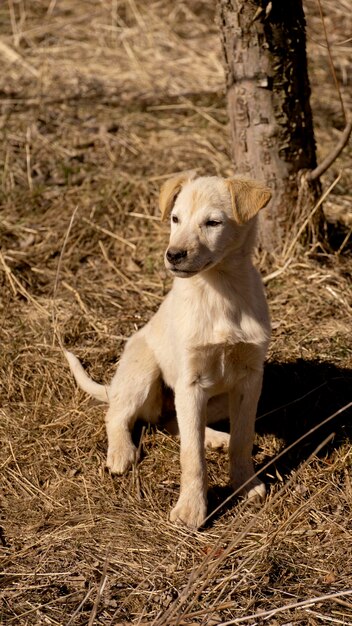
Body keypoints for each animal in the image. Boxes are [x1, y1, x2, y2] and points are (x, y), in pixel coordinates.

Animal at [66, 171, 270, 528]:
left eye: (213, 223)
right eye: (175, 219)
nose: (173, 255)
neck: (220, 290)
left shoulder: (250, 378)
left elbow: (242, 438)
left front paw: (245, 483)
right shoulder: (190, 381)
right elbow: (191, 456)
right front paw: (191, 510)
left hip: (213, 398)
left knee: (173, 422)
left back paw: (216, 438)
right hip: (143, 372)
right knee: (117, 414)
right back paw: (121, 453)